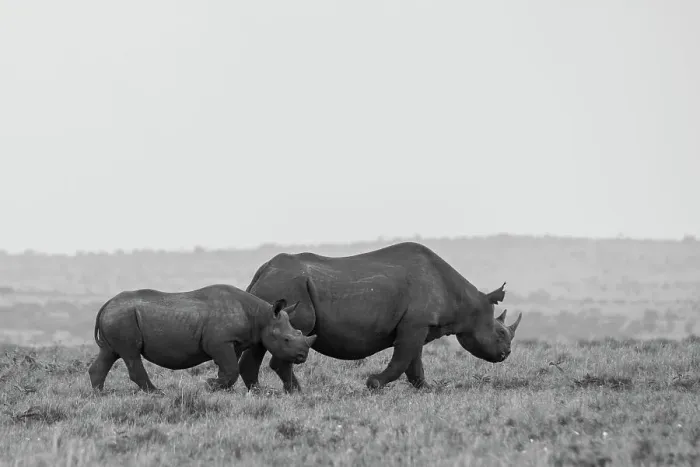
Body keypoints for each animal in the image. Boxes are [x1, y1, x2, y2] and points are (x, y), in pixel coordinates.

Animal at [88, 284, 317, 393]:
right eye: (286, 339)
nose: (302, 356)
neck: (262, 316)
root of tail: (107, 304)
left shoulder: (231, 343)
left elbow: (228, 369)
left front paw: (218, 387)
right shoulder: (219, 342)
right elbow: (231, 369)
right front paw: (209, 385)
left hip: (117, 316)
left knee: (109, 353)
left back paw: (100, 394)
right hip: (122, 317)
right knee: (130, 354)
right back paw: (156, 393)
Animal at [237, 242, 522, 392]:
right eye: (500, 332)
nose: (506, 354)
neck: (466, 301)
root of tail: (263, 270)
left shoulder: (418, 325)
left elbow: (414, 361)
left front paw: (426, 388)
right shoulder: (415, 324)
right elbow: (402, 359)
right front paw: (374, 383)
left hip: (275, 293)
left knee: (264, 340)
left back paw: (260, 392)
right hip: (289, 287)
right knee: (292, 337)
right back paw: (297, 392)